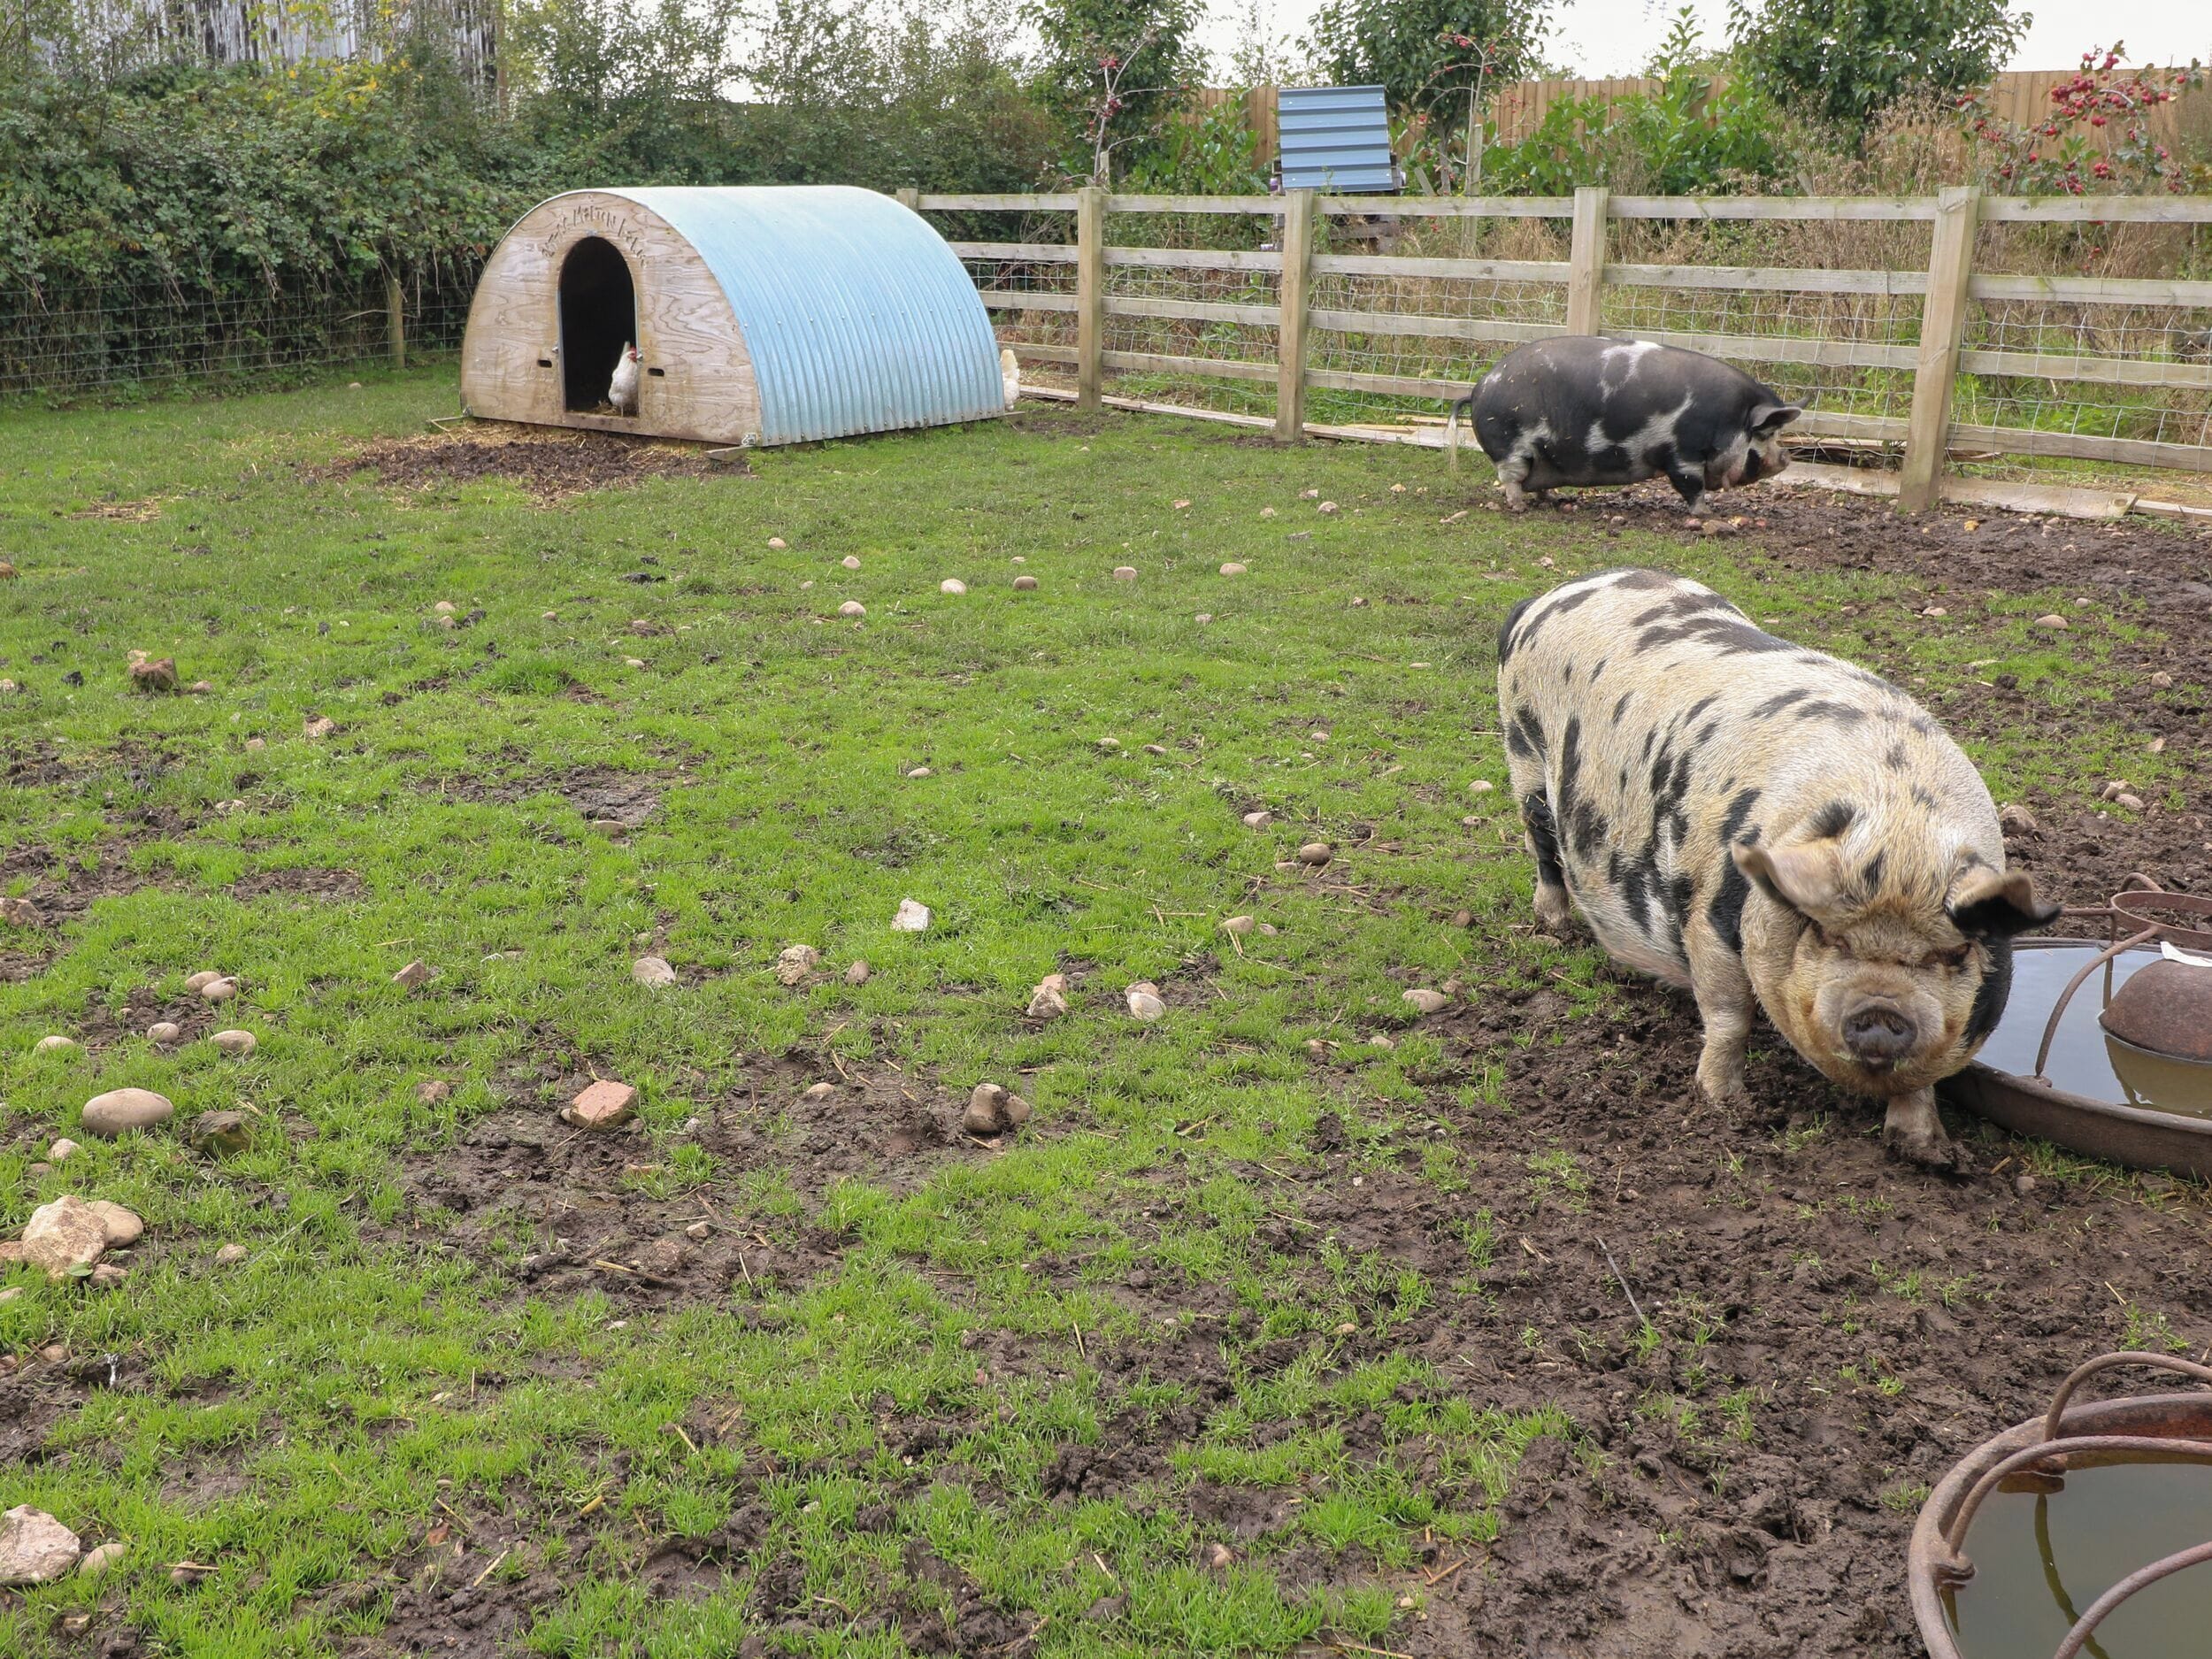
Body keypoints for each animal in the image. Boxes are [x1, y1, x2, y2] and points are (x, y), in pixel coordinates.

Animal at [1449, 337, 1802, 512]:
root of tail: (1477, 390)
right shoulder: (1682, 451)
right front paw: (1706, 514)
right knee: (1511, 479)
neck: (1728, 421)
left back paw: (1554, 500)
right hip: (1509, 446)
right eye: (1765, 433)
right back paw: (1519, 508)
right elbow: (1691, 485)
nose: (1786, 457)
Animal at [1496, 568, 2057, 1168]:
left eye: (1952, 955)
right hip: (1524, 752)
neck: (1900, 833)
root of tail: (1551, 596)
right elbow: (1729, 1015)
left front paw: (1930, 1153)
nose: (1881, 1009)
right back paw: (1553, 926)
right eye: (1828, 937)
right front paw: (1720, 1102)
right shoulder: (1708, 919)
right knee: (1542, 846)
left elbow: (1919, 1083)